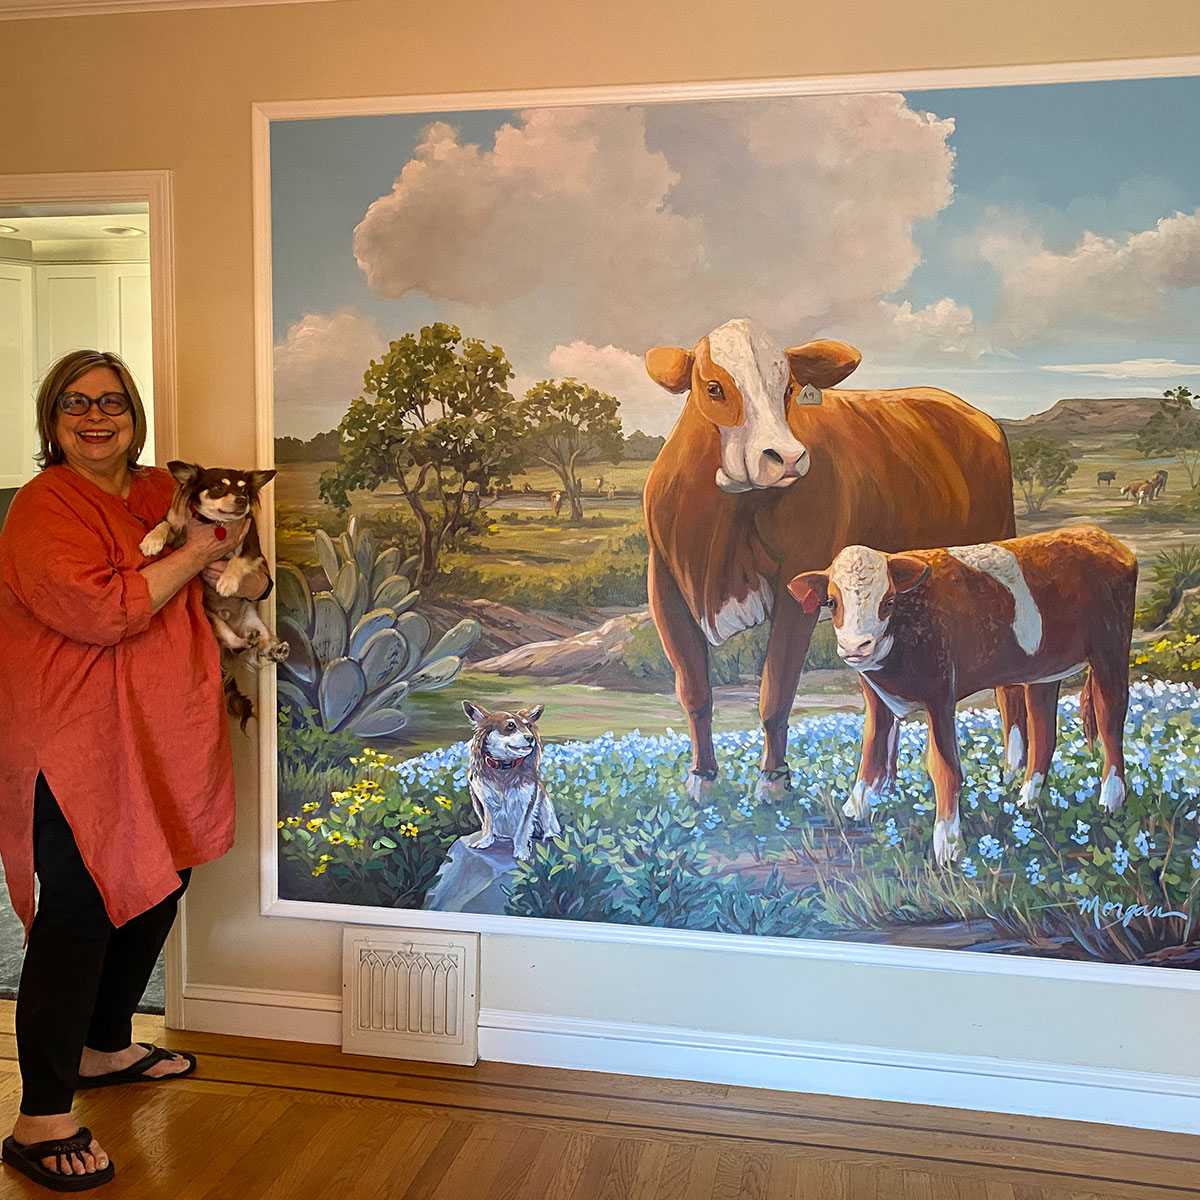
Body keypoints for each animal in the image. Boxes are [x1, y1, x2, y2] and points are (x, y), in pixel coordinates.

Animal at [139, 456, 288, 720]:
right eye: (219, 488)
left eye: (244, 491)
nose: (242, 501)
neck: (217, 524)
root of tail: (239, 626)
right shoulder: (176, 532)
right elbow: (163, 525)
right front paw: (151, 542)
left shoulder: (251, 547)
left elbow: (237, 560)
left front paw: (227, 582)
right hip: (216, 623)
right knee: (235, 644)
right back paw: (248, 641)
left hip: (258, 622)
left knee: (261, 646)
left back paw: (274, 649)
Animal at [463, 700, 566, 864]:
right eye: (510, 725)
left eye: (528, 725)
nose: (530, 737)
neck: (504, 767)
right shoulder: (485, 802)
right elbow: (488, 824)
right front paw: (485, 841)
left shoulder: (528, 802)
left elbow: (522, 830)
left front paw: (522, 851)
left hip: (545, 803)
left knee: (548, 824)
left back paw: (549, 834)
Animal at [648, 316, 1022, 796]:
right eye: (714, 387)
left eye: (789, 388)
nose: (786, 458)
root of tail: (970, 412)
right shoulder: (666, 587)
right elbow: (694, 693)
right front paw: (702, 780)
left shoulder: (796, 587)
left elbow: (776, 691)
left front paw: (773, 782)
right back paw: (882, 787)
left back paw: (1012, 774)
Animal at [792, 525, 1137, 864]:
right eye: (831, 602)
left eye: (888, 601)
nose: (856, 646)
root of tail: (1096, 534)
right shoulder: (876, 696)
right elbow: (872, 745)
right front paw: (857, 806)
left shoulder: (940, 694)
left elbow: (944, 768)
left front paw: (948, 843)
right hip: (1043, 672)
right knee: (1043, 736)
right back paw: (1025, 801)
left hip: (1110, 652)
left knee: (1110, 717)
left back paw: (1111, 800)